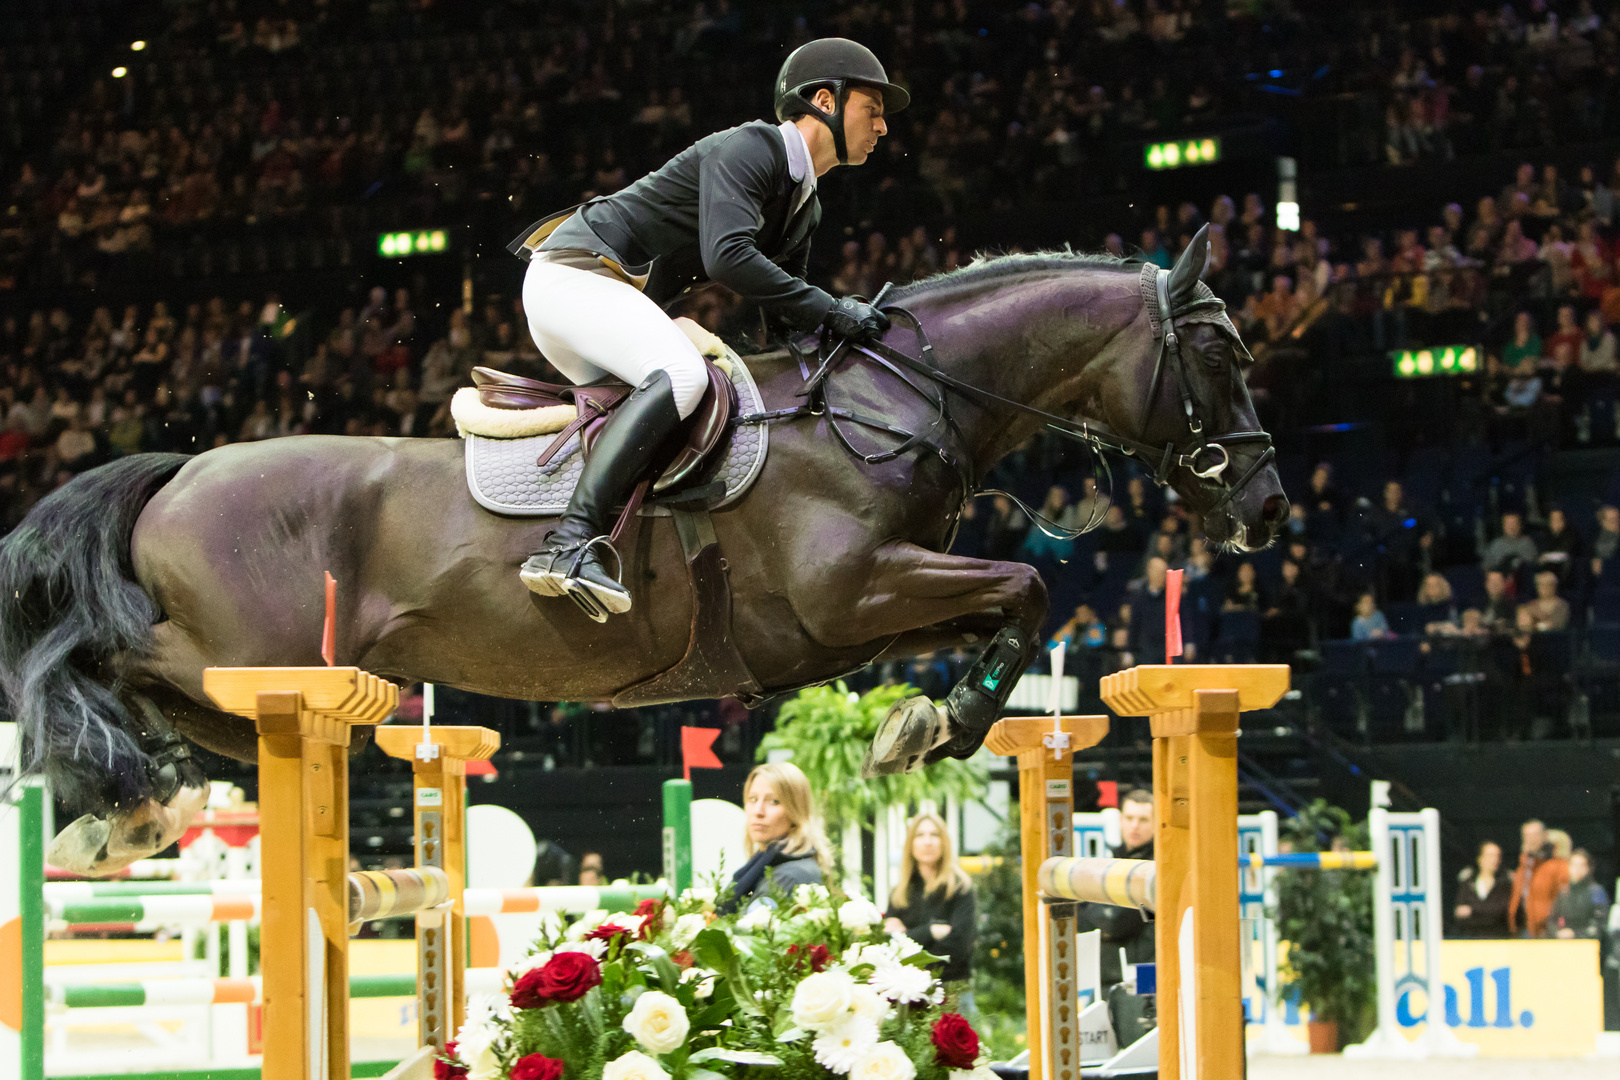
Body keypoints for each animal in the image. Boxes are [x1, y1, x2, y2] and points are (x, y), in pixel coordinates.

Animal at [3, 223, 1289, 874]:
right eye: (1223, 351)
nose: (1270, 507)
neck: (887, 402)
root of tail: (177, 471)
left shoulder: (865, 617)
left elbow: (1009, 609)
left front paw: (924, 723)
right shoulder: (850, 595)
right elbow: (1028, 587)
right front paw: (940, 726)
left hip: (258, 691)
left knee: (159, 701)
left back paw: (122, 801)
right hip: (247, 656)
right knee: (92, 657)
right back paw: (108, 786)